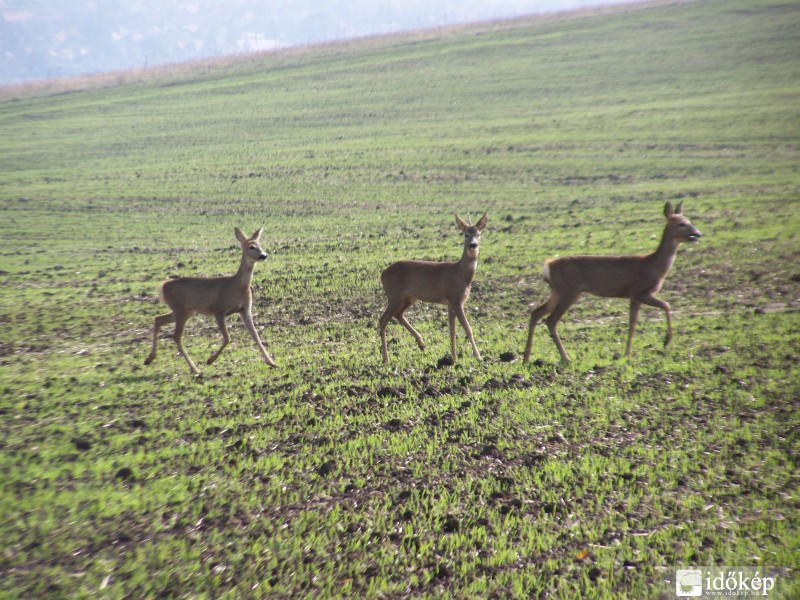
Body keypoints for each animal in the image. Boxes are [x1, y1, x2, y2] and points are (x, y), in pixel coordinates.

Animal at [144, 226, 278, 372]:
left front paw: (272, 362)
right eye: (251, 247)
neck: (236, 286)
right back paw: (195, 369)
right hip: (181, 310)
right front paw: (210, 360)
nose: (264, 255)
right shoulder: (219, 310)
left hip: (184, 310)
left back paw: (149, 359)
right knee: (176, 336)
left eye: (260, 245)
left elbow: (256, 336)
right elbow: (227, 338)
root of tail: (163, 286)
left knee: (158, 319)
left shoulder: (245, 309)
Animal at [380, 216, 488, 366]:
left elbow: (452, 330)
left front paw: (453, 358)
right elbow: (468, 328)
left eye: (478, 234)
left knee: (398, 314)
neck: (461, 273)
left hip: (409, 297)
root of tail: (382, 275)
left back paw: (421, 343)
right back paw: (386, 359)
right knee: (383, 320)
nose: (473, 245)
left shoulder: (450, 303)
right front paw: (478, 357)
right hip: (394, 295)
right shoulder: (456, 299)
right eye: (465, 234)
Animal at [520, 202, 696, 364]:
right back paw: (565, 358)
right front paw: (666, 341)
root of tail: (548, 265)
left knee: (536, 312)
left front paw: (627, 354)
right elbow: (667, 305)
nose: (697, 234)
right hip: (569, 291)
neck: (654, 264)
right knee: (551, 320)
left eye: (689, 220)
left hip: (557, 291)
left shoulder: (634, 297)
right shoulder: (641, 291)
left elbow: (632, 324)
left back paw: (527, 357)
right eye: (681, 223)